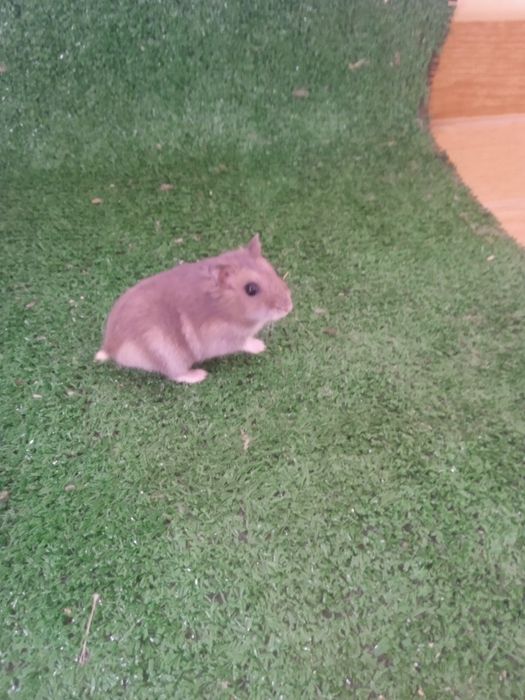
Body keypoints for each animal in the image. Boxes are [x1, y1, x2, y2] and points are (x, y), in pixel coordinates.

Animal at [95, 234, 293, 383]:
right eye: (251, 289)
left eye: (272, 270)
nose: (289, 306)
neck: (223, 307)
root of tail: (110, 347)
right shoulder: (222, 337)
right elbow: (243, 342)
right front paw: (261, 346)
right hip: (169, 356)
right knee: (176, 375)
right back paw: (199, 375)